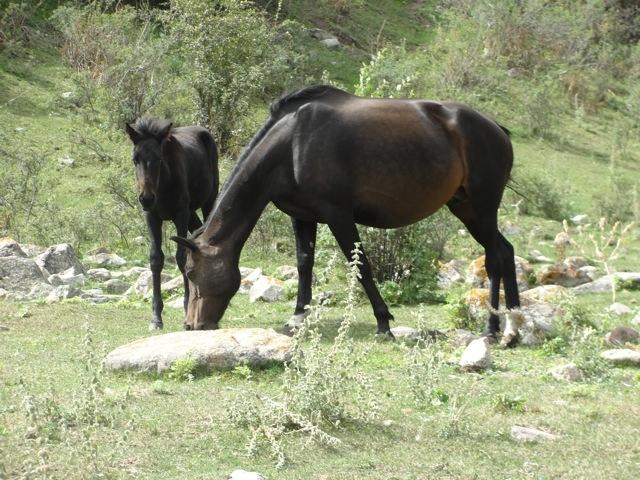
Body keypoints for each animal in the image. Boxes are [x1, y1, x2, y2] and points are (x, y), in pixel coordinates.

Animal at [125, 118, 219, 330]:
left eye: (159, 158)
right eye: (135, 159)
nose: (146, 198)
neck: (163, 184)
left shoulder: (180, 214)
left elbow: (182, 258)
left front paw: (187, 309)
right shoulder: (152, 216)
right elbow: (156, 259)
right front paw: (156, 317)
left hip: (208, 201)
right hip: (191, 212)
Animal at [172, 85, 524, 346]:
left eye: (191, 272)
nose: (192, 325)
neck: (292, 143)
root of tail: (497, 129)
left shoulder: (338, 216)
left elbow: (362, 266)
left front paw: (383, 322)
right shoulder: (302, 216)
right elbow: (304, 263)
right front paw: (298, 316)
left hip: (482, 208)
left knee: (494, 257)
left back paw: (493, 328)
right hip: (466, 208)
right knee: (505, 252)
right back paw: (514, 324)